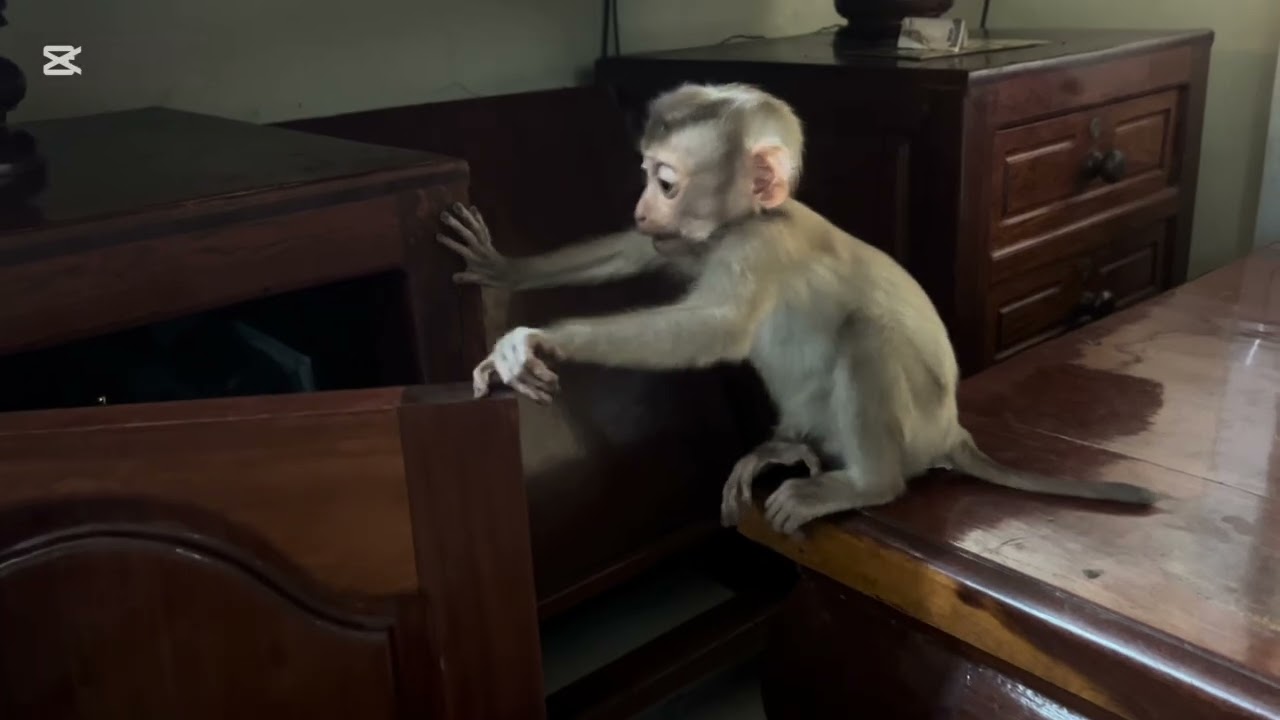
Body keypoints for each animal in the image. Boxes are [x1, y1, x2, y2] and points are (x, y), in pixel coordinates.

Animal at [437, 82, 1157, 535]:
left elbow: (717, 330)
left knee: (868, 338)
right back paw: (785, 447)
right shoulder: (701, 243)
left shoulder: (760, 247)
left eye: (665, 183)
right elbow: (638, 255)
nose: (641, 208)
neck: (750, 220)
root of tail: (953, 432)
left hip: (916, 427)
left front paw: (539, 340)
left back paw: (867, 484)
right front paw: (503, 267)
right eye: (645, 178)